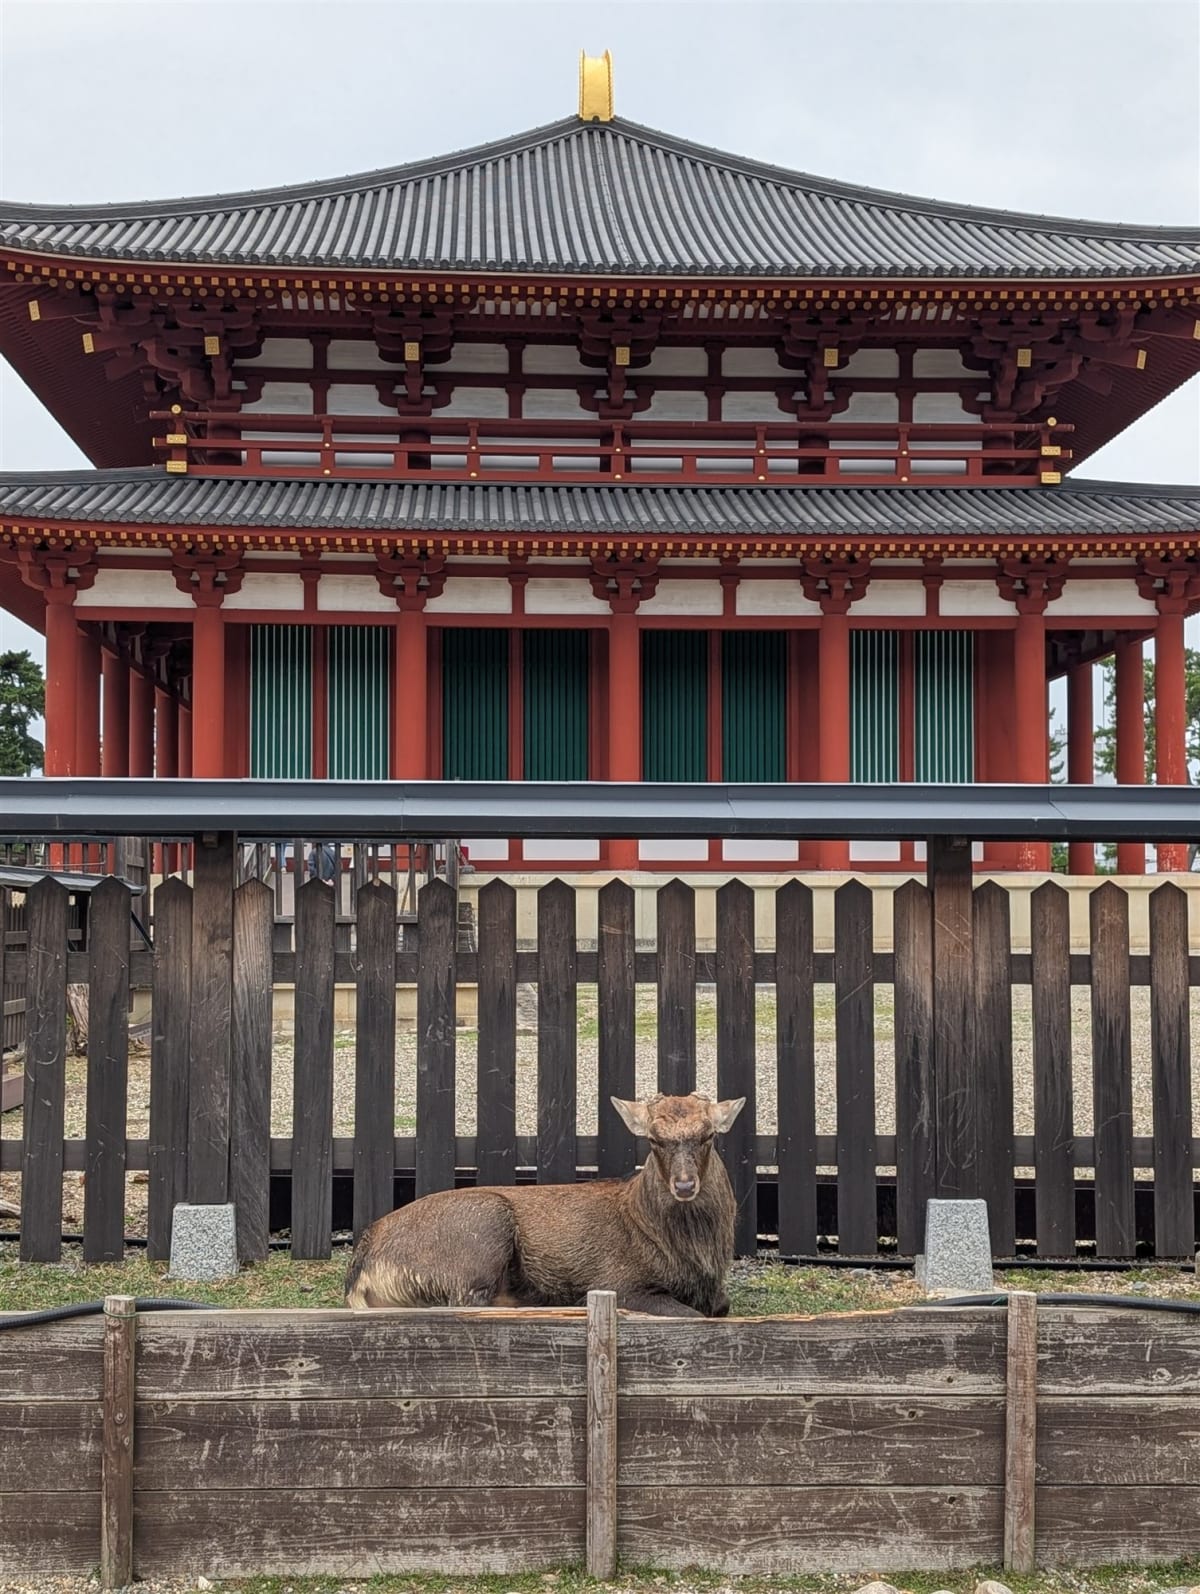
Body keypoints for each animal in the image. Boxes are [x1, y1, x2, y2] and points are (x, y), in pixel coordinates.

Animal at [344, 1092, 746, 1317]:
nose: (684, 1184)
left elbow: (721, 1306)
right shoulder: (619, 1282)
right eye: (653, 1139)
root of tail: (360, 1268)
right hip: (481, 1231)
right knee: (466, 1302)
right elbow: (692, 1315)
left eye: (708, 1135)